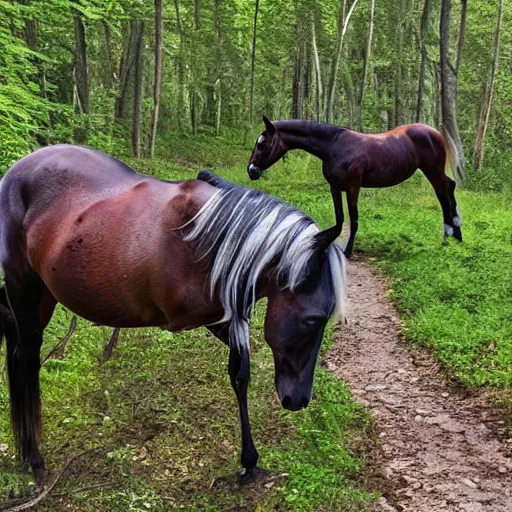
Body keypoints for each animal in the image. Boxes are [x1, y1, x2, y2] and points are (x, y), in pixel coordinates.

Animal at [0, 144, 346, 488]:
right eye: (312, 319)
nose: (298, 400)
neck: (212, 237)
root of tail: (15, 172)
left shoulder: (227, 318)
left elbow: (240, 372)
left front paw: (249, 463)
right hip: (23, 287)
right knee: (24, 357)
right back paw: (33, 456)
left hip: (43, 295)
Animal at [246, 117, 466, 258]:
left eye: (262, 144)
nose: (251, 171)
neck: (334, 147)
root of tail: (435, 133)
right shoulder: (335, 188)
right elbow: (339, 219)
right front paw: (321, 242)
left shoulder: (353, 188)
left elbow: (352, 220)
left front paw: (348, 251)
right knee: (448, 188)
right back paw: (455, 235)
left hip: (432, 171)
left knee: (444, 192)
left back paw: (448, 236)